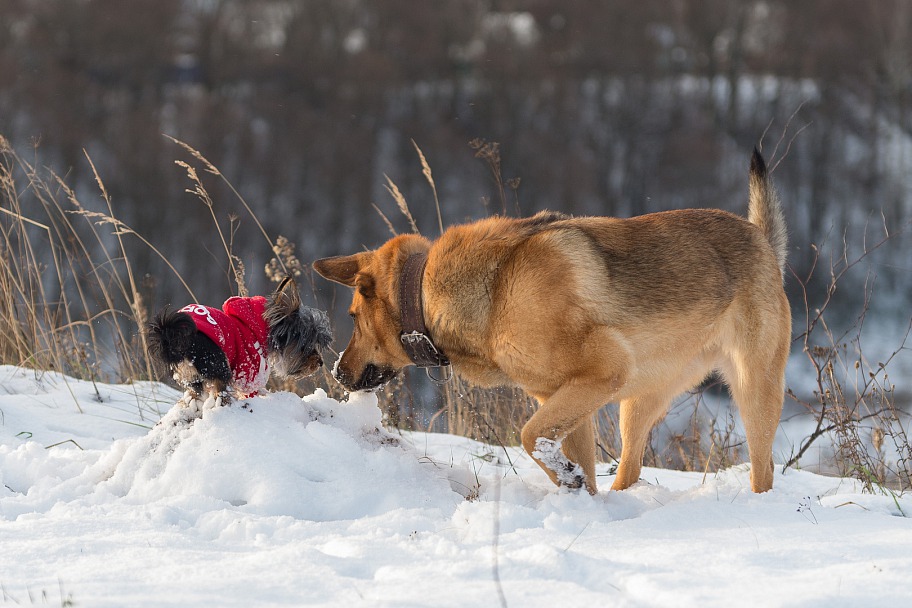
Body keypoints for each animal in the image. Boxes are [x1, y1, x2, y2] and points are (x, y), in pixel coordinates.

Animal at [148, 276, 334, 402]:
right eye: (305, 345)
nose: (320, 362)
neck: (261, 325)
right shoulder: (250, 371)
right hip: (219, 367)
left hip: (191, 378)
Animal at [316, 147, 792, 494]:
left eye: (353, 317)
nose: (336, 372)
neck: (493, 290)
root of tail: (762, 240)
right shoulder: (566, 398)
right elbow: (556, 452)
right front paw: (576, 494)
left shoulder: (601, 374)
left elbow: (529, 438)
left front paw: (567, 481)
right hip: (637, 403)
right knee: (630, 469)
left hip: (752, 393)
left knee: (764, 470)